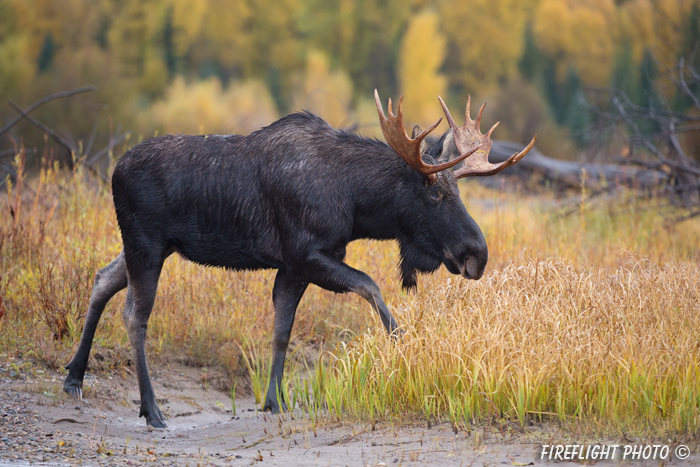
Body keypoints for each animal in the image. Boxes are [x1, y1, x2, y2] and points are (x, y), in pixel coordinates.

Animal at [65, 90, 536, 428]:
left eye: (457, 191)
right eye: (435, 194)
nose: (478, 254)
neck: (356, 202)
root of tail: (114, 170)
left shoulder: (292, 267)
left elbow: (281, 332)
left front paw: (274, 401)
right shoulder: (307, 253)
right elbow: (370, 285)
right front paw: (403, 344)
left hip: (147, 247)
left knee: (102, 279)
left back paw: (73, 378)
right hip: (145, 245)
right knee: (135, 315)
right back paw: (151, 410)